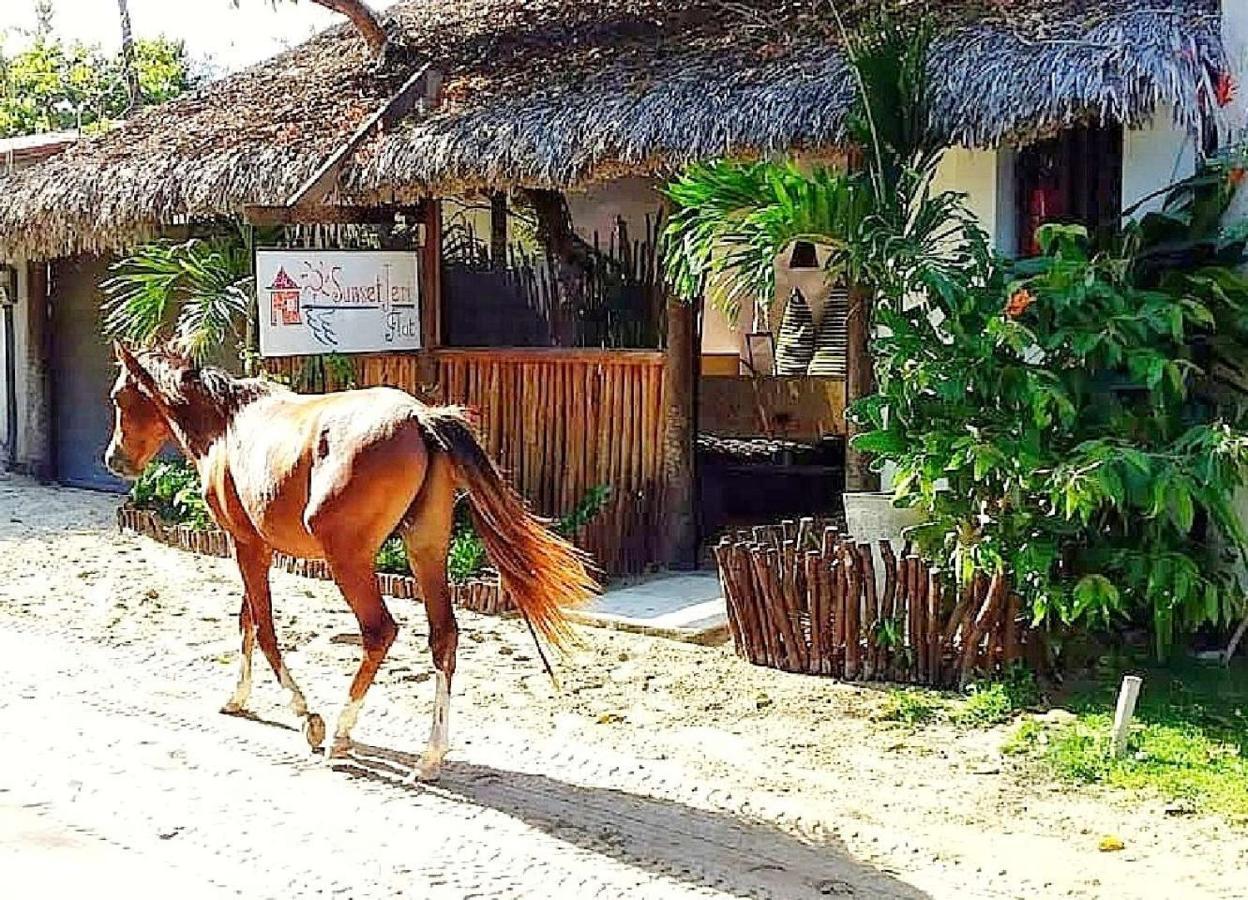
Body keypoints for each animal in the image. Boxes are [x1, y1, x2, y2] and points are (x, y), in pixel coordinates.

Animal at [104, 344, 596, 778]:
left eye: (118, 397)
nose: (114, 459)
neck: (227, 425)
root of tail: (418, 418)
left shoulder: (245, 545)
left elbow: (264, 629)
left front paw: (307, 718)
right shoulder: (256, 547)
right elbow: (247, 620)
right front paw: (237, 698)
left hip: (349, 561)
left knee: (380, 631)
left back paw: (341, 733)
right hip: (426, 549)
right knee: (443, 637)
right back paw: (429, 758)